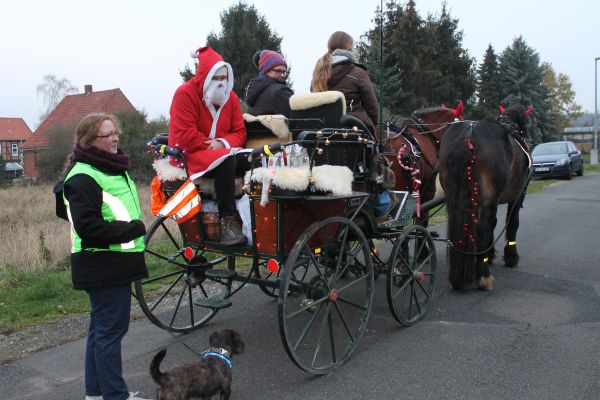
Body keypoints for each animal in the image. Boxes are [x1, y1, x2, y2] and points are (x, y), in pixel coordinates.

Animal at [439, 104, 533, 290]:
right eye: (524, 128)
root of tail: (468, 135)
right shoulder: (516, 196)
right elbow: (512, 223)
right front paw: (510, 256)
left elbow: (494, 224)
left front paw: (489, 255)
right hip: (489, 197)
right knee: (482, 228)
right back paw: (483, 276)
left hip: (455, 196)